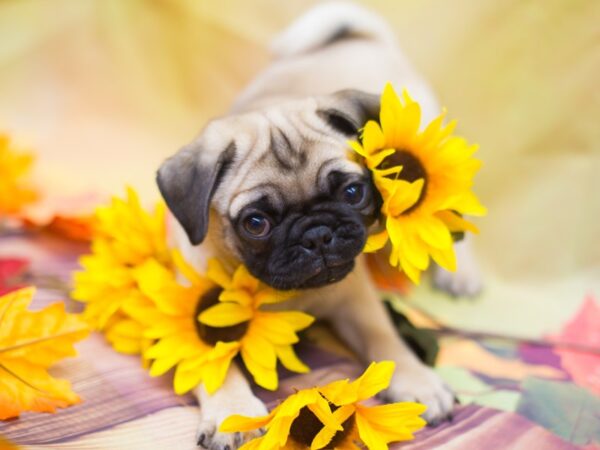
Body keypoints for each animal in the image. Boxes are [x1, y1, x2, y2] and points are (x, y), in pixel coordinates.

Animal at [157, 1, 480, 448]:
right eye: (255, 223)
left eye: (353, 193)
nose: (317, 234)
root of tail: (363, 37)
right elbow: (213, 365)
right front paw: (232, 411)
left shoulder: (356, 298)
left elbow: (385, 337)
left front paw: (418, 379)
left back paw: (461, 273)